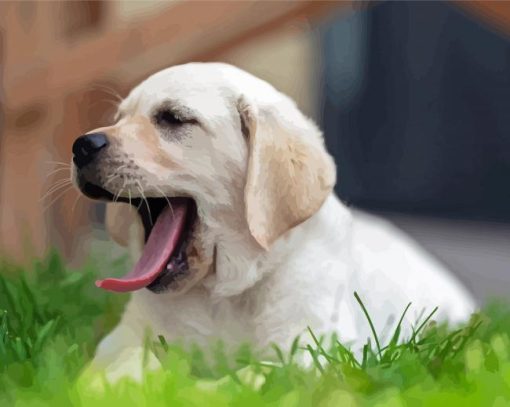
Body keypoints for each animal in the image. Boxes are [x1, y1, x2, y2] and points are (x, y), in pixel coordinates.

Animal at [70, 62, 474, 378]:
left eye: (173, 118)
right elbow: (119, 365)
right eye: (119, 118)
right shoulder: (125, 336)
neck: (224, 295)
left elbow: (253, 374)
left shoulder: (313, 348)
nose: (81, 146)